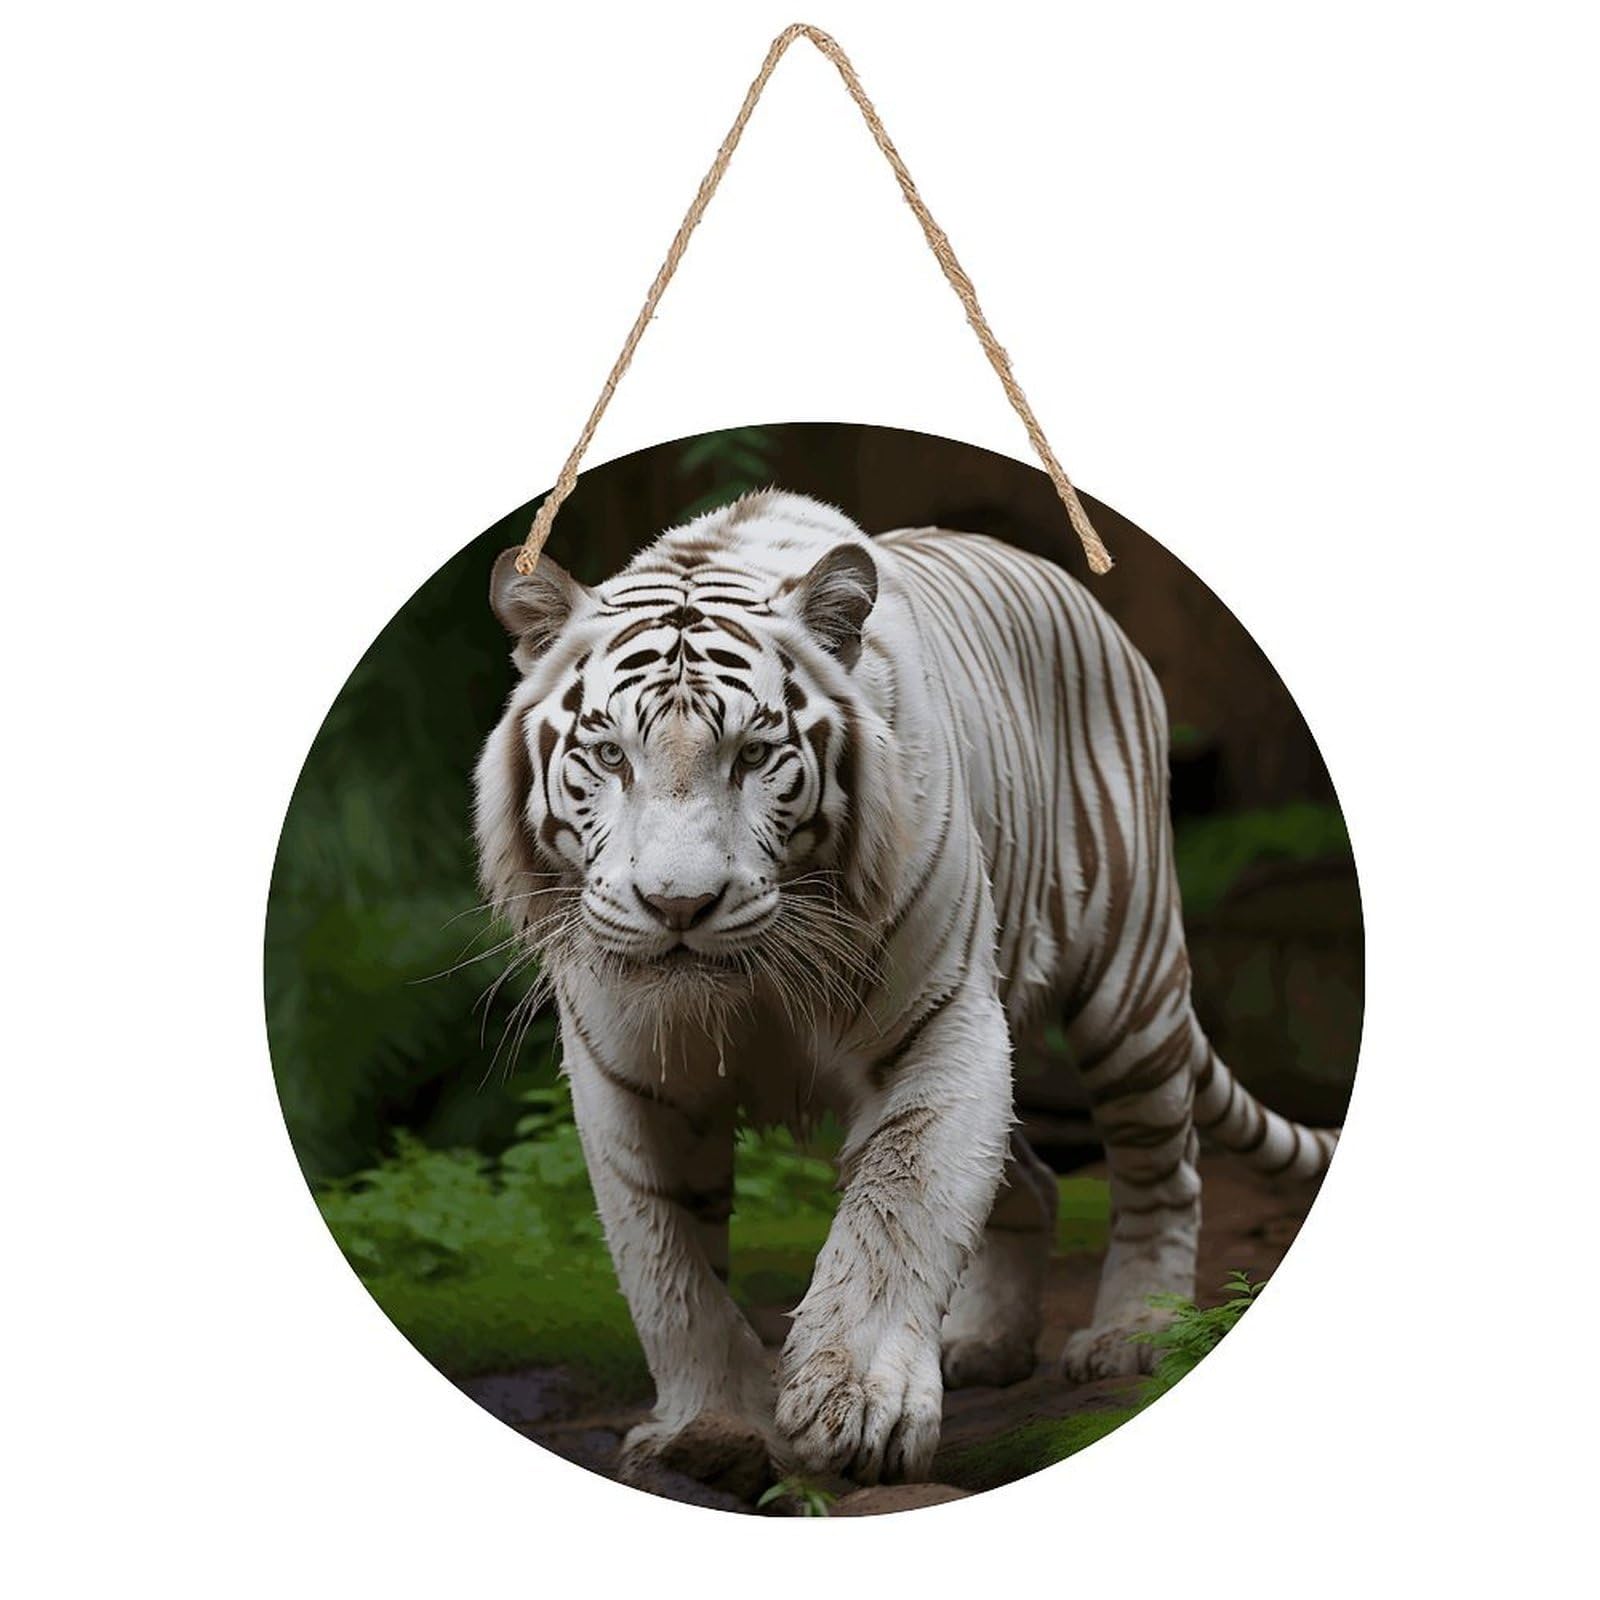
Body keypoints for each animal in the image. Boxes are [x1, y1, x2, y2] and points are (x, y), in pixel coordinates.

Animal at [474, 489, 1337, 1489]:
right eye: (610, 755)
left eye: (753, 755)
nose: (679, 904)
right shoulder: (627, 1077)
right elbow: (667, 1267)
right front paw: (709, 1426)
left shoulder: (941, 1020)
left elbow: (901, 1207)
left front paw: (859, 1411)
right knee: (1033, 1178)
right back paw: (984, 1344)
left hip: (1130, 975)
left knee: (1164, 1166)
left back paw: (1134, 1332)